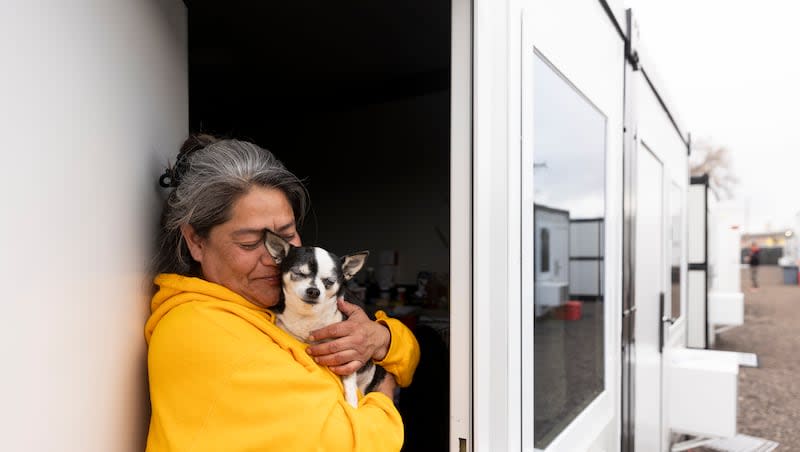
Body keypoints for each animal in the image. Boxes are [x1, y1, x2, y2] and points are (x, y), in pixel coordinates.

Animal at [264, 231, 386, 408]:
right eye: (299, 273)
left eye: (329, 282)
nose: (314, 291)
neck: (308, 315)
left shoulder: (346, 354)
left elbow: (349, 383)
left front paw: (352, 405)